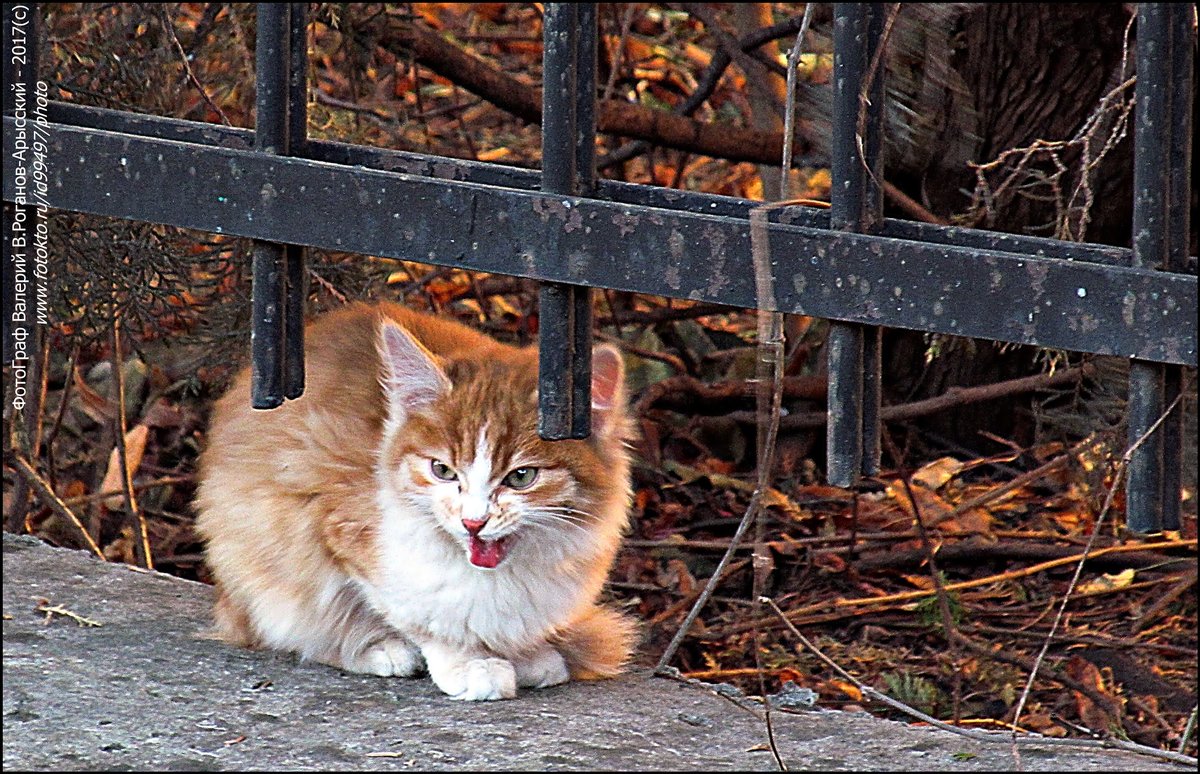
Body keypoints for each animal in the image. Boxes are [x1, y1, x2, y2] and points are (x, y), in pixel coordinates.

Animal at [196, 300, 638, 700]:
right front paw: (469, 662)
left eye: (521, 477)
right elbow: (422, 615)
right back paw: (375, 649)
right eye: (442, 470)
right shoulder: (336, 522)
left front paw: (525, 654)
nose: (473, 522)